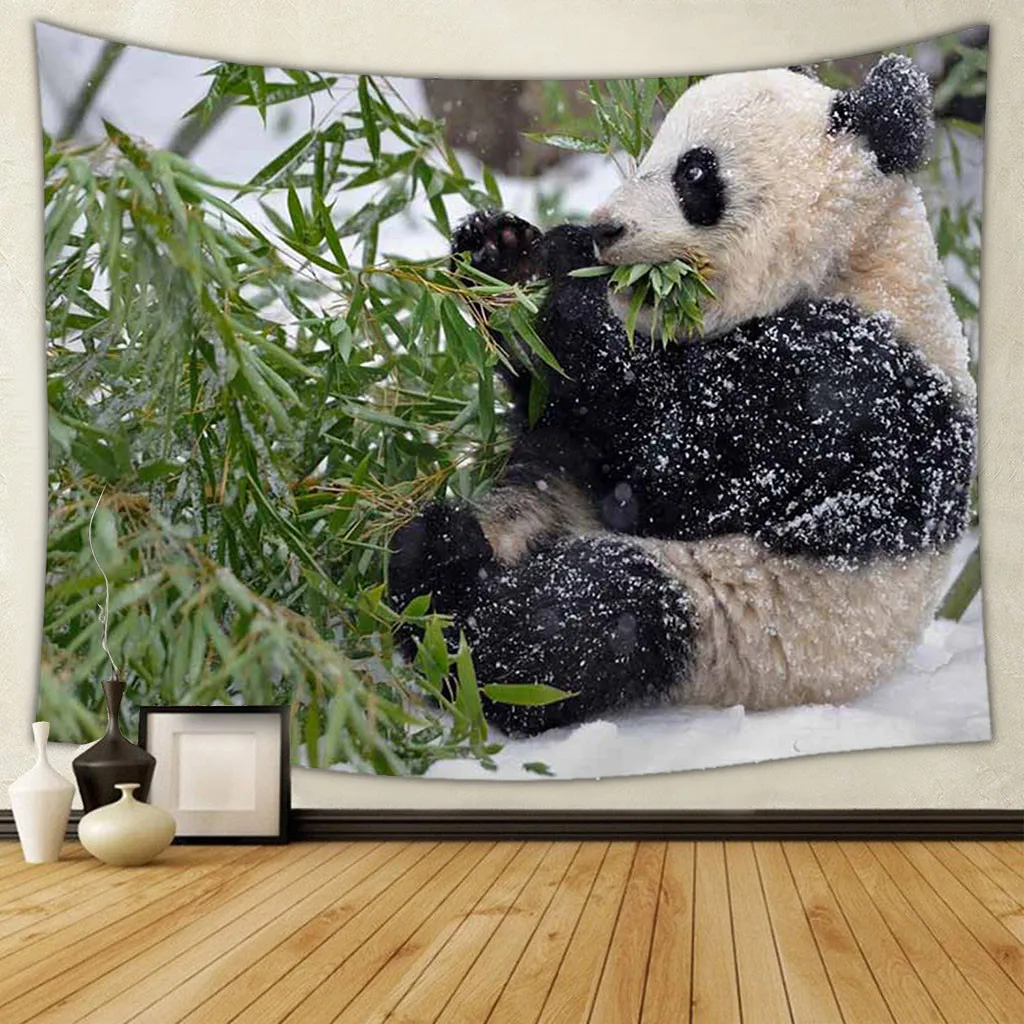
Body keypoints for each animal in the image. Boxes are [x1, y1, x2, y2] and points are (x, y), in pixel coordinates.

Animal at [388, 55, 977, 737]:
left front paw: (558, 267)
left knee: (592, 617)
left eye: (694, 174)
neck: (859, 253)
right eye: (649, 150)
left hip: (741, 618)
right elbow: (560, 408)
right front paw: (500, 249)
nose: (604, 227)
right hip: (545, 500)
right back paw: (425, 559)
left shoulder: (851, 382)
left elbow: (678, 461)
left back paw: (451, 591)